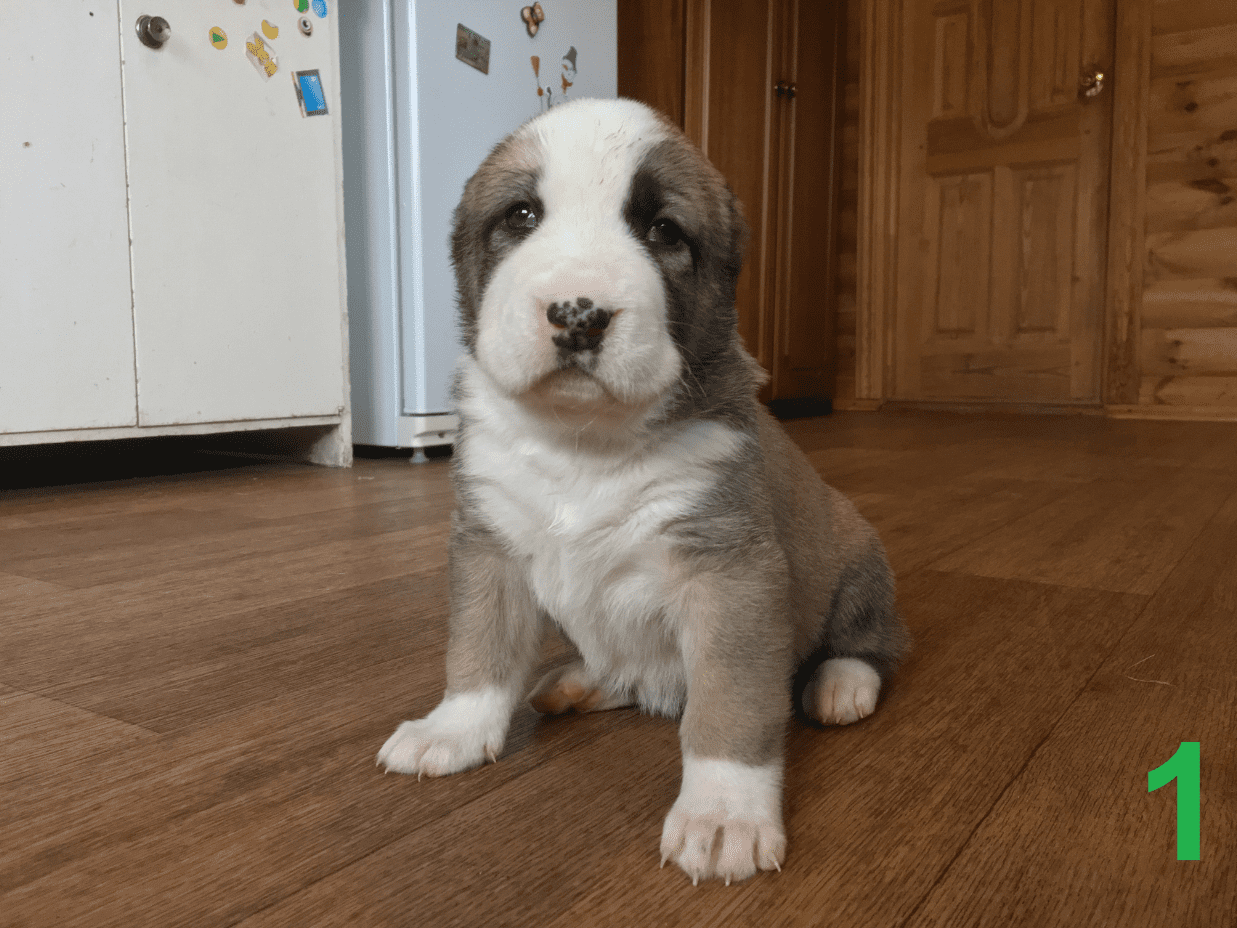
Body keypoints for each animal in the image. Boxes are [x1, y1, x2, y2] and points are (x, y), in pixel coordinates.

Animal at [376, 98, 910, 890]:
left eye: (663, 231)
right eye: (522, 214)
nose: (578, 313)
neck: (584, 443)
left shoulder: (729, 570)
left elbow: (730, 699)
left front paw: (723, 814)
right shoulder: (488, 545)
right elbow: (478, 644)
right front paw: (455, 727)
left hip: (855, 556)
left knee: (870, 644)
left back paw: (841, 684)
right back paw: (581, 683)